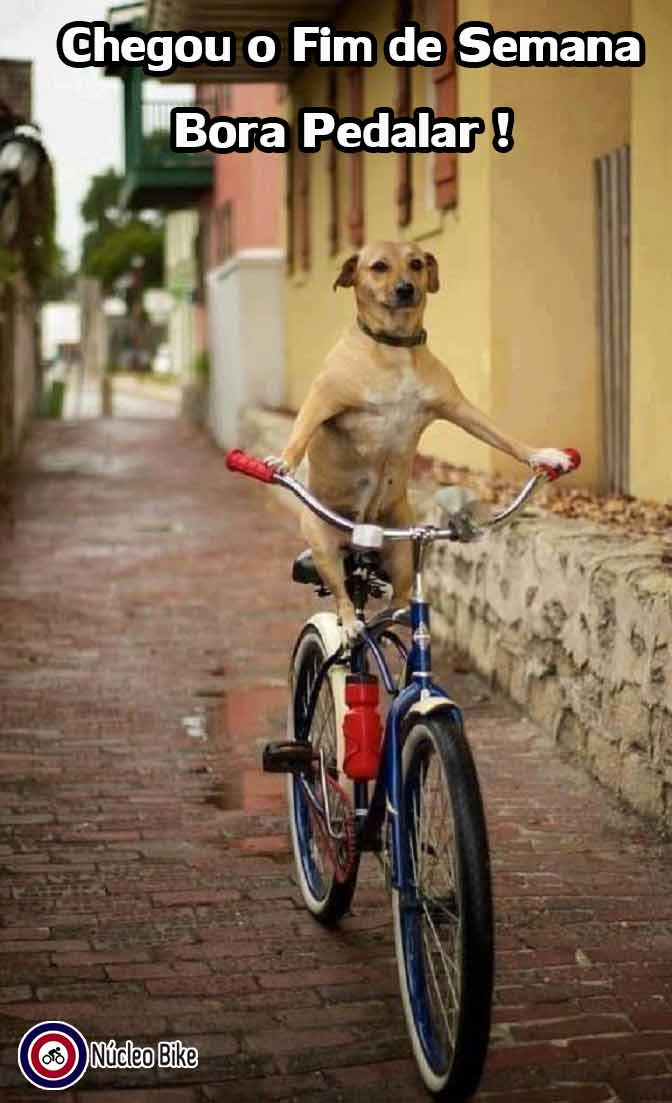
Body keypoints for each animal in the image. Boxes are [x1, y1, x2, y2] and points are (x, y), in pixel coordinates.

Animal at [267, 237, 569, 644]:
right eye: (379, 266)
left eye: (416, 264)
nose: (406, 288)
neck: (394, 347)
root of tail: (354, 542)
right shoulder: (322, 400)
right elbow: (300, 431)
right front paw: (283, 461)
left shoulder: (460, 408)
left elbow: (505, 438)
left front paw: (542, 455)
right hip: (323, 546)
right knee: (343, 596)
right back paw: (350, 624)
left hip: (400, 551)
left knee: (401, 595)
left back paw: (399, 615)